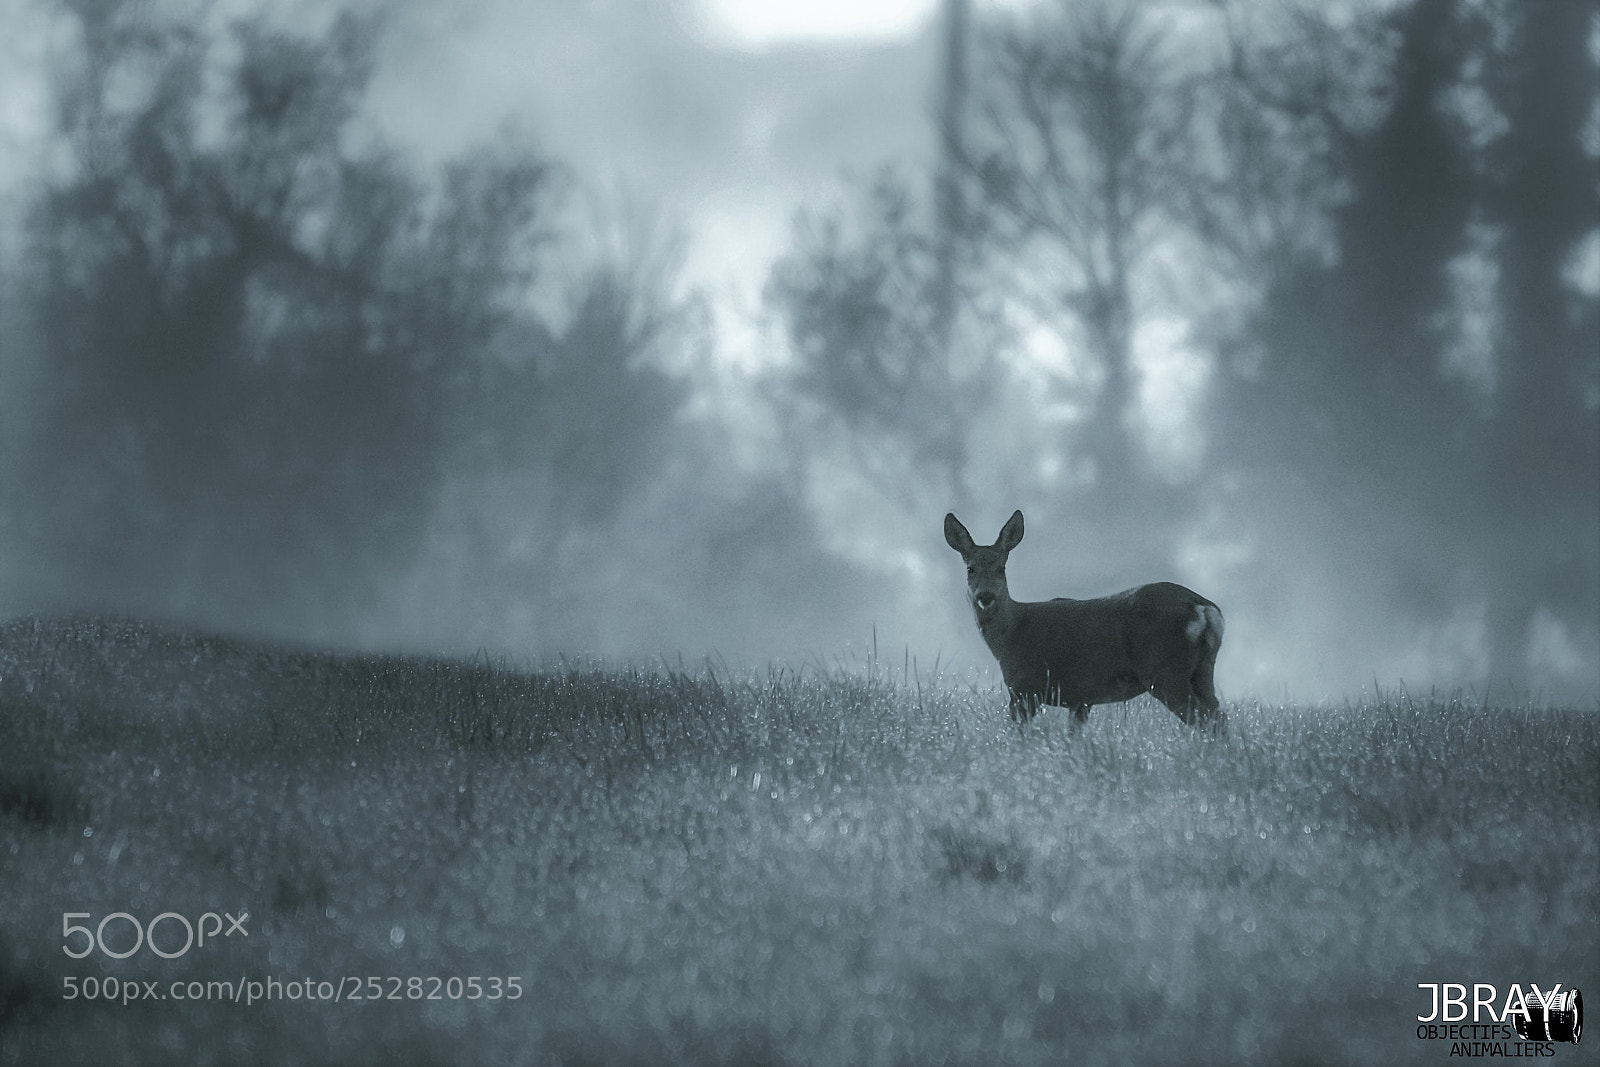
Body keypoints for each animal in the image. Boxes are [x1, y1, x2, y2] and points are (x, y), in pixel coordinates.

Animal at [944, 510, 1225, 730]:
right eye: (970, 568)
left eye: (1001, 568)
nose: (985, 596)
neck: (1008, 635)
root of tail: (1203, 607)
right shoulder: (1081, 698)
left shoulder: (1025, 686)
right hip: (1202, 670)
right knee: (1217, 714)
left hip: (1165, 669)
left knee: (1203, 718)